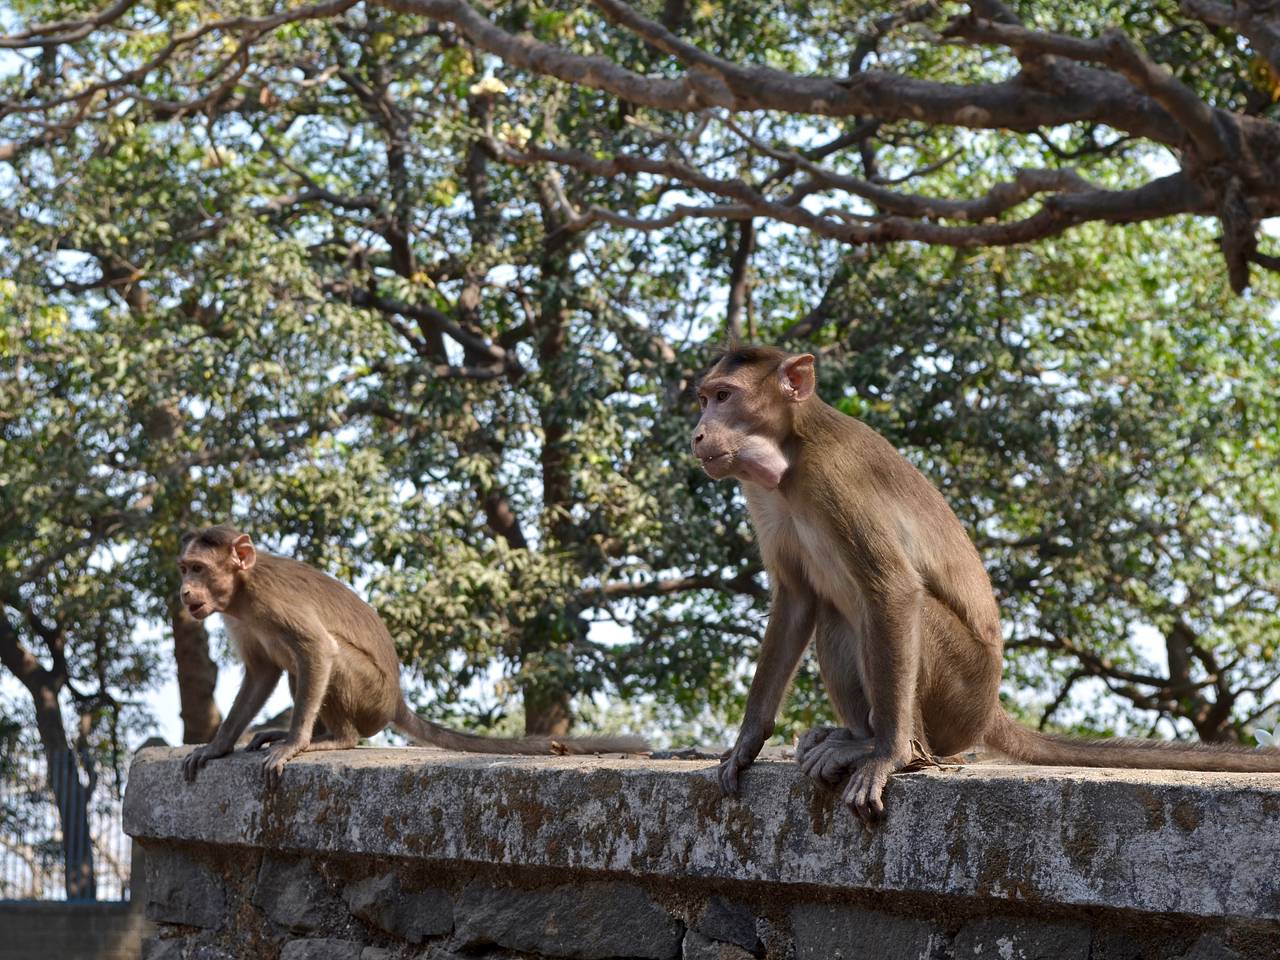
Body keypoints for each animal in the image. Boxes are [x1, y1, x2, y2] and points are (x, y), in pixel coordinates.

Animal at [177, 527, 650, 788]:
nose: (183, 592)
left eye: (199, 569)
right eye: (185, 568)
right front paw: (217, 747)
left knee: (327, 658)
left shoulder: (271, 601)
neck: (242, 591)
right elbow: (261, 672)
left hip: (370, 698)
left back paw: (335, 737)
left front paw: (295, 744)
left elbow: (317, 648)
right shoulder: (237, 617)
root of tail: (396, 701)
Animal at [696, 345, 1280, 829]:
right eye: (704, 398)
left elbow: (893, 590)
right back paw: (854, 736)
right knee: (838, 615)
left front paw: (887, 757)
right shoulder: (761, 495)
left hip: (962, 691)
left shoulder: (834, 479)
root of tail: (989, 706)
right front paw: (746, 745)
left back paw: (892, 748)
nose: (698, 433)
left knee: (877, 611)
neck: (790, 455)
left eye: (725, 397)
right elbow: (797, 600)